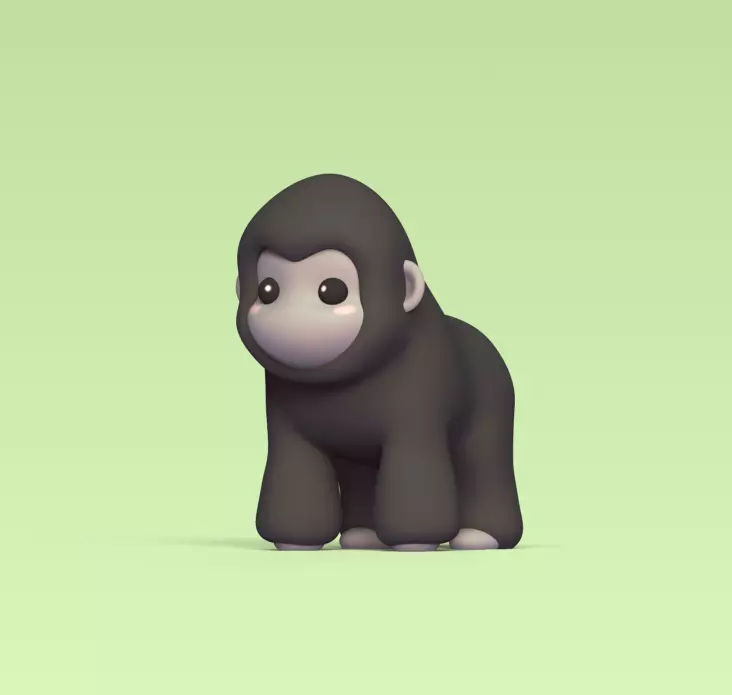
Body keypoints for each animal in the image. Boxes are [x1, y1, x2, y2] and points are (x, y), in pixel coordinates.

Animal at [235, 174, 522, 552]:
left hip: (492, 417)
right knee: (360, 474)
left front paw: (416, 543)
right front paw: (295, 543)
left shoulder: (417, 406)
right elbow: (296, 472)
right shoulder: (287, 424)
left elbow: (414, 472)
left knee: (484, 462)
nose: (288, 319)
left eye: (332, 290)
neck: (344, 383)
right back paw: (362, 535)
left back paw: (480, 536)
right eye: (268, 289)